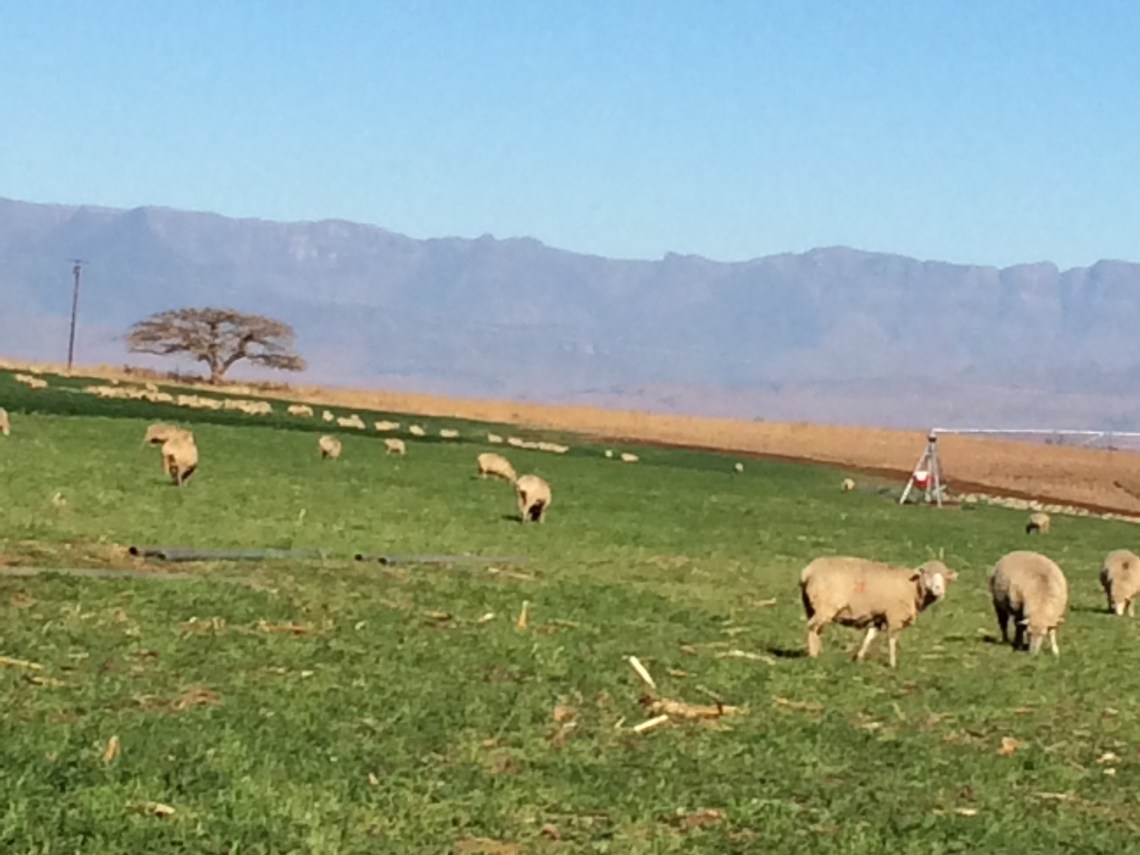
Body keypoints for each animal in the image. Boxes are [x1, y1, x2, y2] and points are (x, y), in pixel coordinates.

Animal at [800, 556, 957, 668]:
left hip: (812, 606)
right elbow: (892, 640)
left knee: (817, 629)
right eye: (926, 573)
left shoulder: (878, 617)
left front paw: (858, 658)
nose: (938, 589)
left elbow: (869, 637)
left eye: (945, 576)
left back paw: (819, 652)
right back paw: (813, 656)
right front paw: (892, 664)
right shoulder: (894, 616)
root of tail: (807, 571)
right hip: (826, 605)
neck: (913, 588)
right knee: (813, 627)